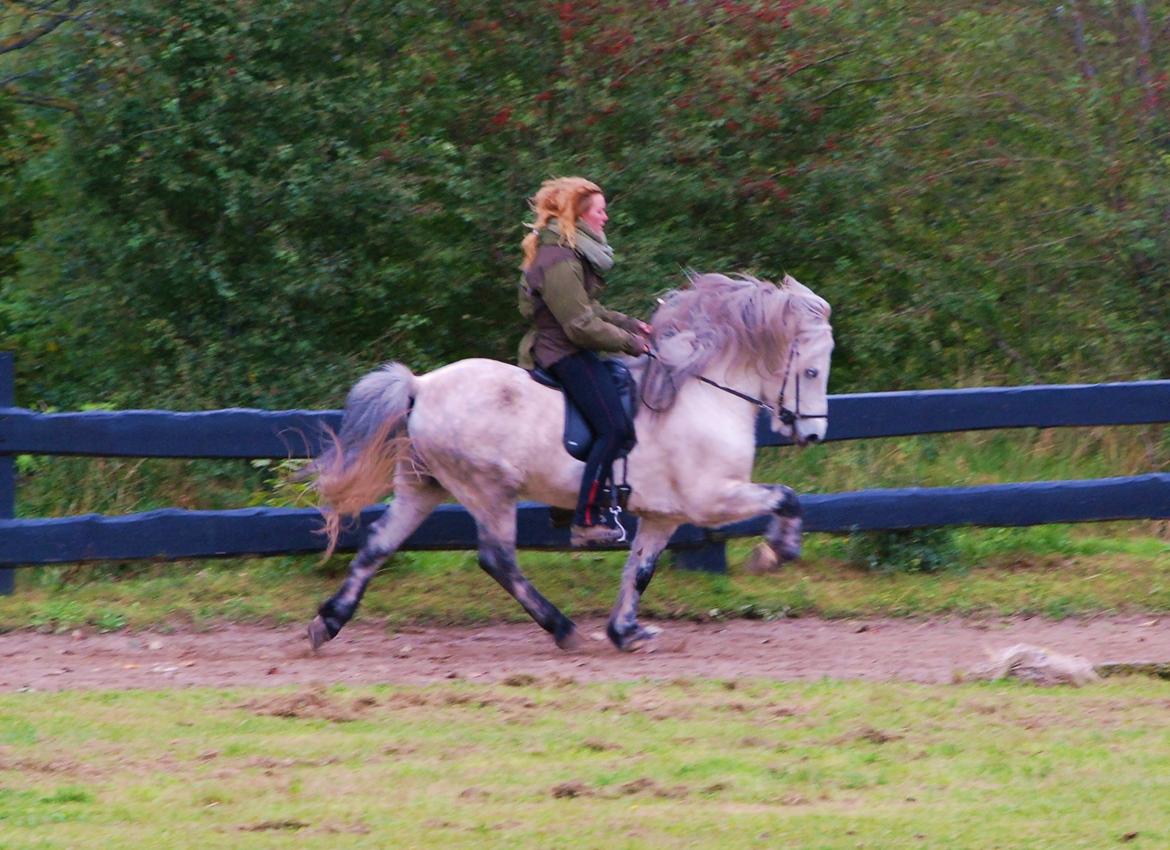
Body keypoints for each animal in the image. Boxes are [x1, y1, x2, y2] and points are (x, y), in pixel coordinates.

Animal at [301, 271, 833, 650]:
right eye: (811, 371)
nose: (812, 434)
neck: (700, 394)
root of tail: (421, 386)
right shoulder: (712, 499)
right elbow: (786, 497)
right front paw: (775, 553)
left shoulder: (664, 514)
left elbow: (640, 570)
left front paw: (626, 631)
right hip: (488, 490)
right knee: (498, 560)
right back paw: (562, 628)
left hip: (423, 487)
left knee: (377, 545)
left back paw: (328, 622)